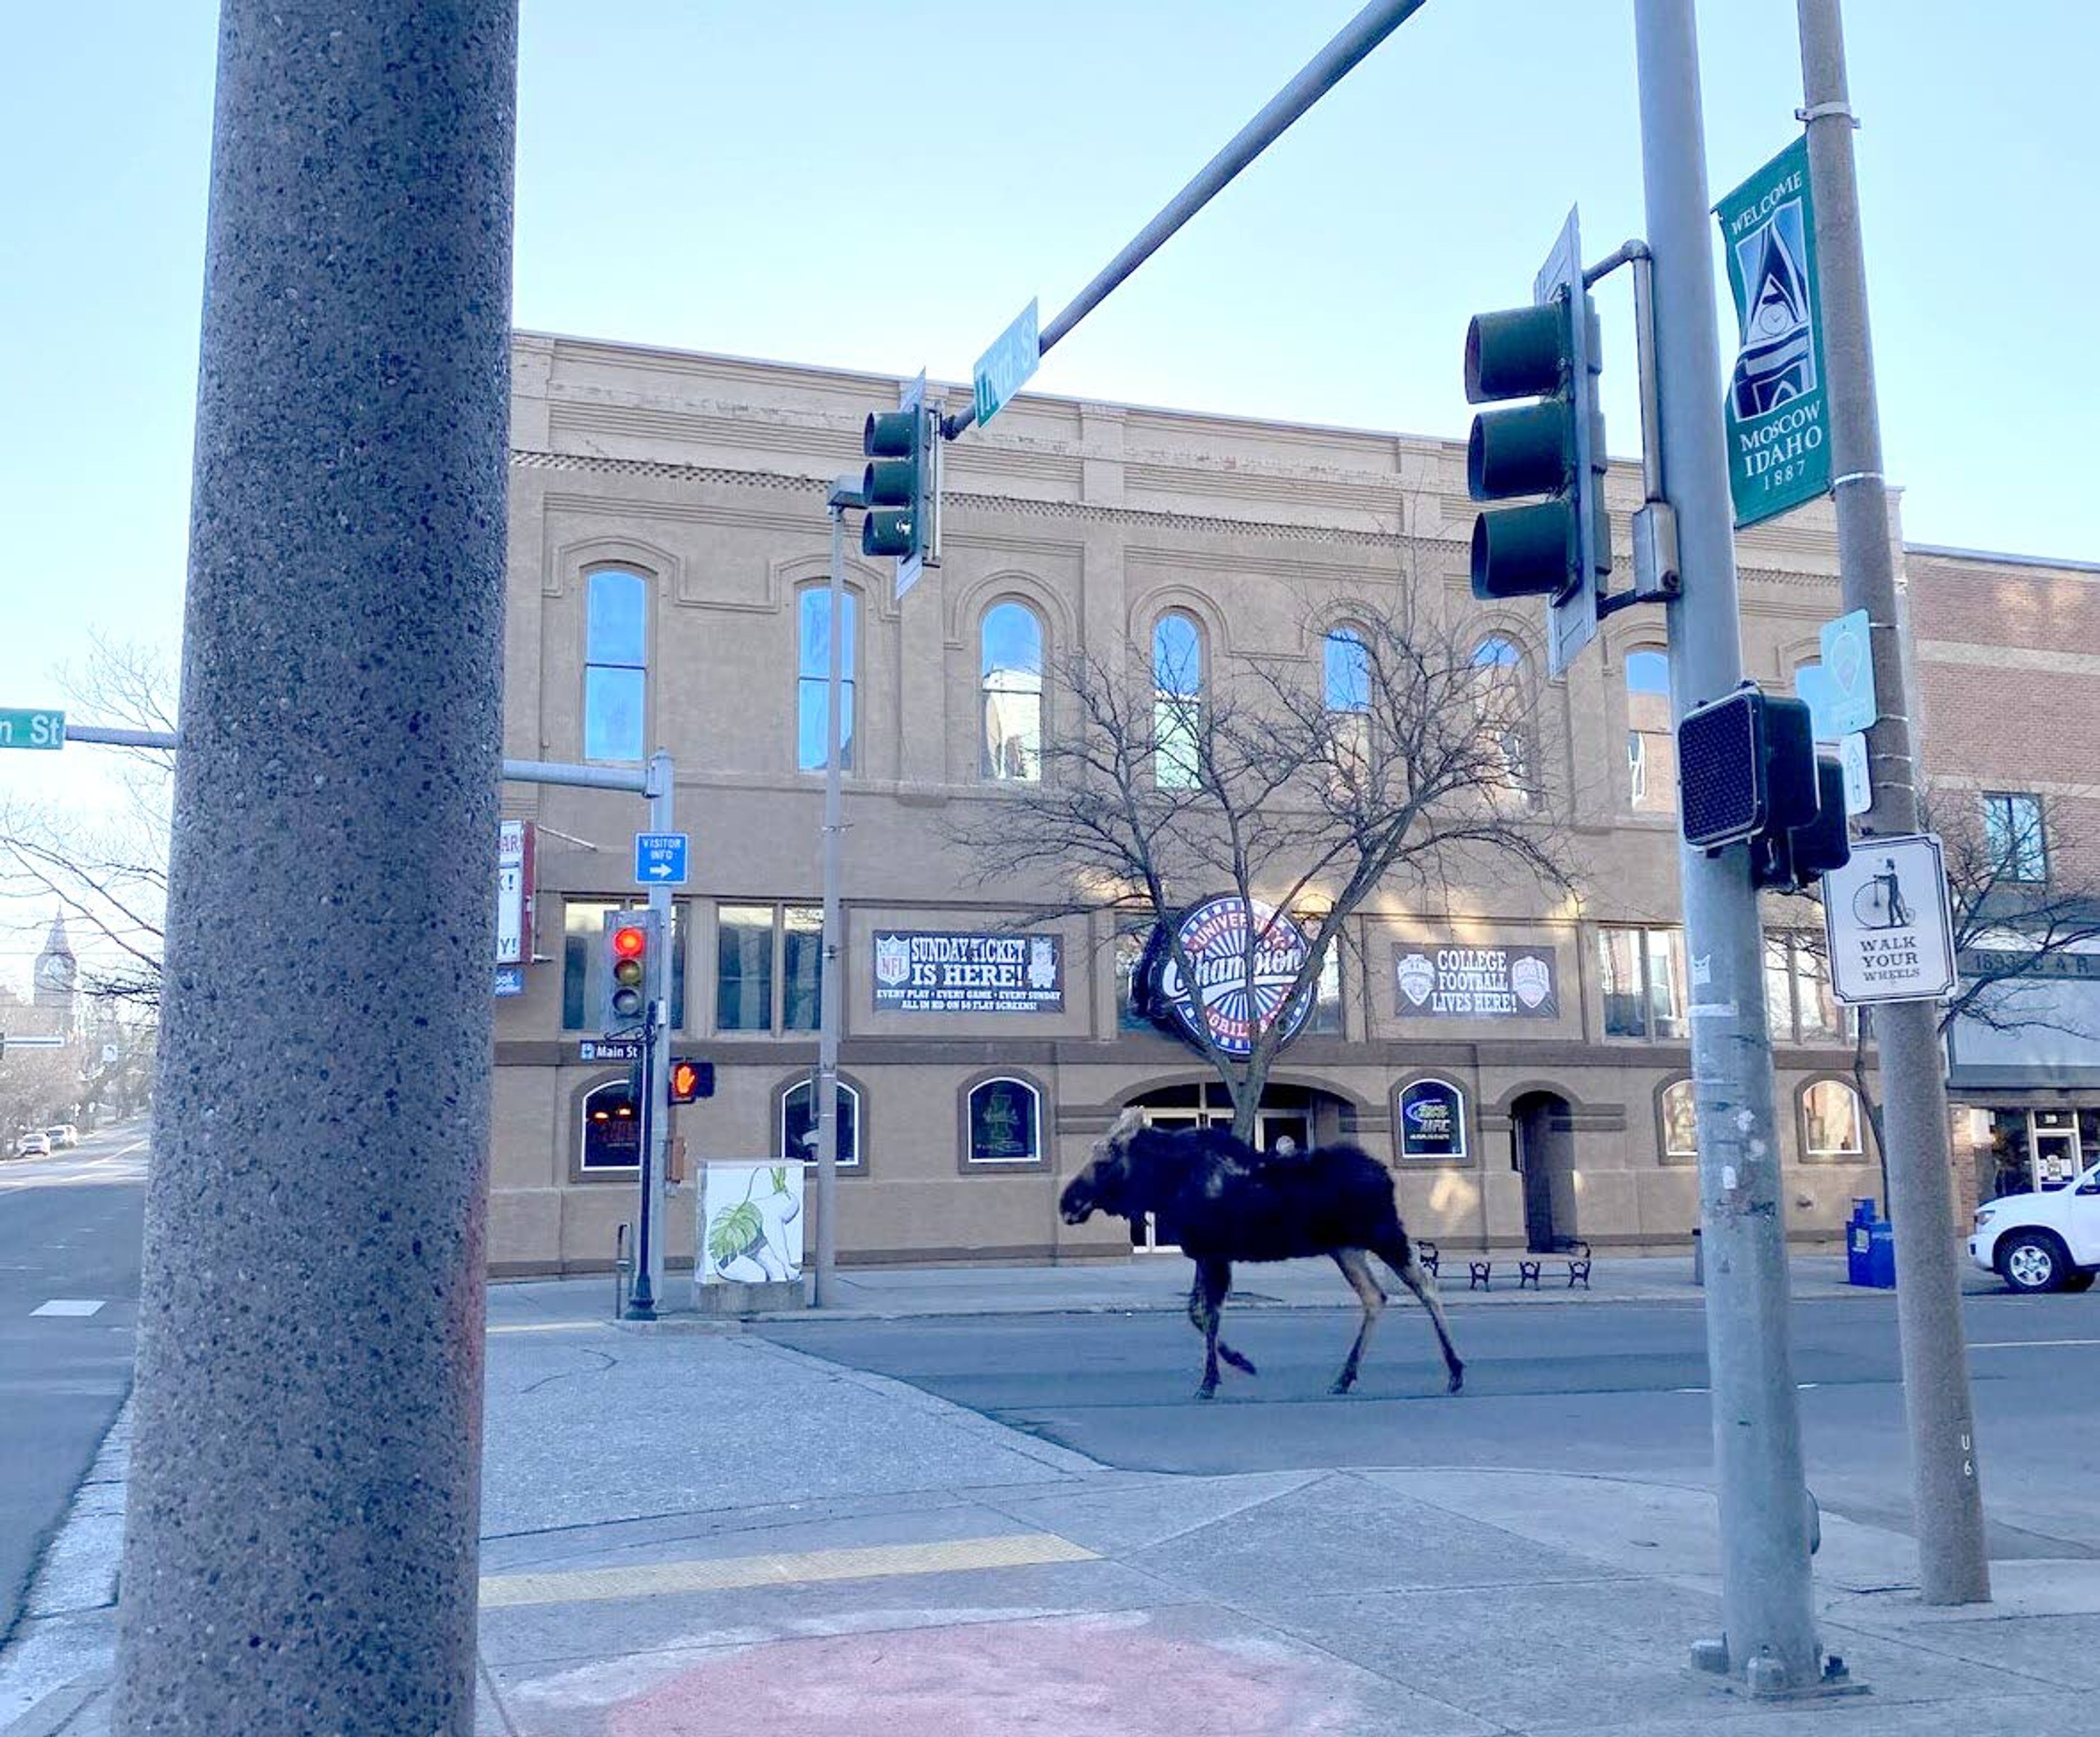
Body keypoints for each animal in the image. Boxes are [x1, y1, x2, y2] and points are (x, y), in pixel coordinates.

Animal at [1058, 1117, 1470, 1403]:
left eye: (1103, 1161)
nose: (1067, 1203)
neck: (1165, 1186)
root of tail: (1387, 1176)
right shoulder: (1206, 1254)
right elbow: (1197, 1313)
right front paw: (1239, 1362)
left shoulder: (1214, 1254)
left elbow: (1208, 1315)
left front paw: (1211, 1381)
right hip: (1346, 1248)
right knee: (1375, 1296)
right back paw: (1344, 1376)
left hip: (1383, 1234)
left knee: (1426, 1285)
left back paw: (1455, 1371)